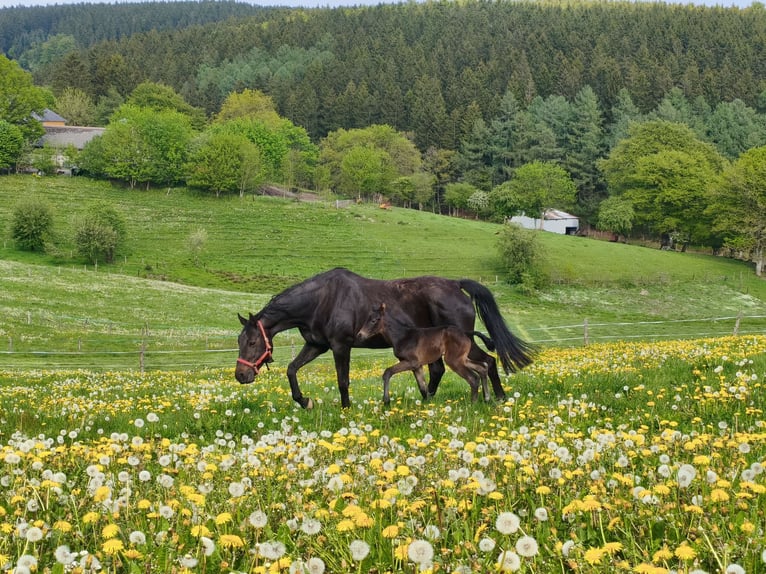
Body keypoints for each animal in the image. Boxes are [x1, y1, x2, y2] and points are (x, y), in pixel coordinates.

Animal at [357, 303, 491, 405]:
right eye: (366, 319)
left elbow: (387, 372)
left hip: (454, 360)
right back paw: (487, 399)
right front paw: (427, 406)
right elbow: (422, 387)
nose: (360, 335)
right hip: (462, 359)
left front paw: (386, 401)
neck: (402, 336)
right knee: (482, 367)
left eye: (374, 320)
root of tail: (465, 333)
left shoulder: (411, 362)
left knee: (473, 378)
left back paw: (473, 404)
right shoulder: (417, 366)